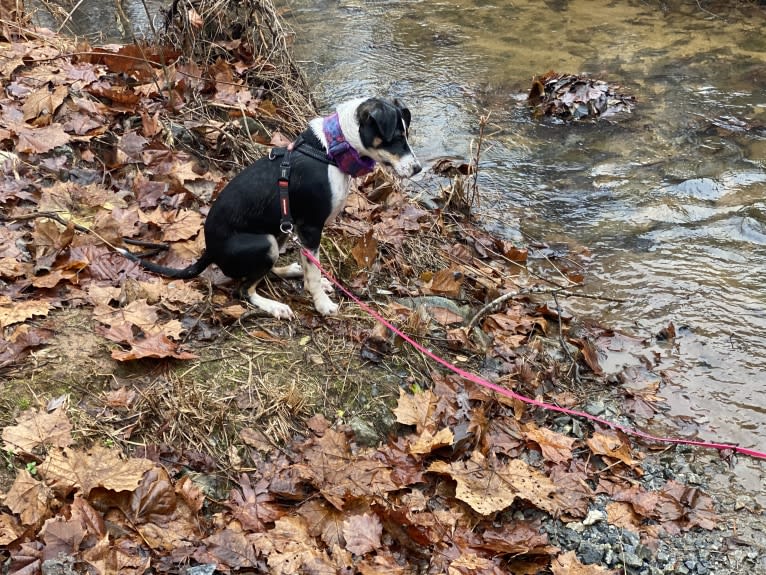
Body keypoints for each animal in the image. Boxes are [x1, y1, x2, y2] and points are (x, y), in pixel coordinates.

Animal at [121, 96, 420, 318]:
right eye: (395, 137)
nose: (417, 169)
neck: (330, 150)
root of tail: (209, 252)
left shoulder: (300, 228)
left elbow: (310, 266)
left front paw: (312, 281)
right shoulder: (311, 227)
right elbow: (313, 272)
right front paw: (322, 304)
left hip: (279, 234)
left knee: (268, 270)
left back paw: (291, 271)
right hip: (265, 242)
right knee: (245, 289)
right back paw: (274, 306)